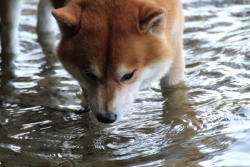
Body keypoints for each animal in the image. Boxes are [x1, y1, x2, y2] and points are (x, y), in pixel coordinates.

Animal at [0, 0, 185, 122]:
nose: (107, 118)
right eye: (89, 74)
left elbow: (174, 91)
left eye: (128, 75)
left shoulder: (174, 37)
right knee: (9, 31)